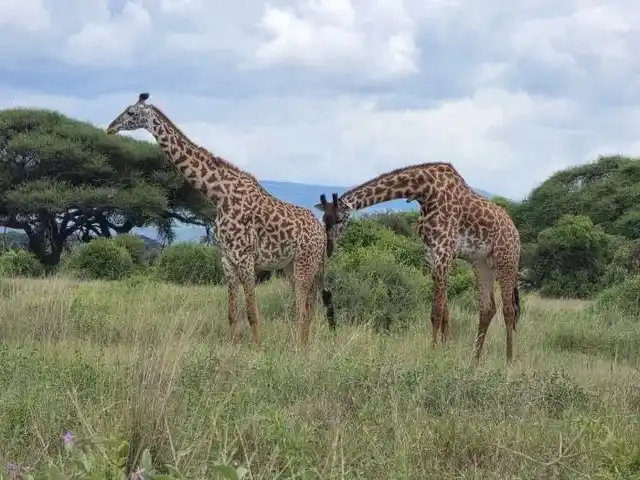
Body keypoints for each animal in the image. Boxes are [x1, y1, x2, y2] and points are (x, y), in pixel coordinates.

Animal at [106, 92, 335, 347]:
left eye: (131, 112)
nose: (110, 127)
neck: (218, 195)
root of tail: (321, 231)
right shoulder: (227, 259)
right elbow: (232, 313)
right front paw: (233, 347)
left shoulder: (245, 258)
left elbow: (252, 312)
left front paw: (257, 349)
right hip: (291, 266)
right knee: (307, 307)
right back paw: (302, 345)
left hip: (306, 263)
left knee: (303, 308)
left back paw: (299, 348)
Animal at [315, 162, 521, 362]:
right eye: (324, 219)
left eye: (340, 219)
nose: (329, 248)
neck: (425, 191)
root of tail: (515, 232)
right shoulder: (431, 254)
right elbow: (445, 312)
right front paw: (443, 352)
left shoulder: (444, 252)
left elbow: (436, 312)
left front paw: (432, 354)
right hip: (481, 263)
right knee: (488, 308)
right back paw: (474, 359)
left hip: (506, 259)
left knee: (509, 310)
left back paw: (509, 361)